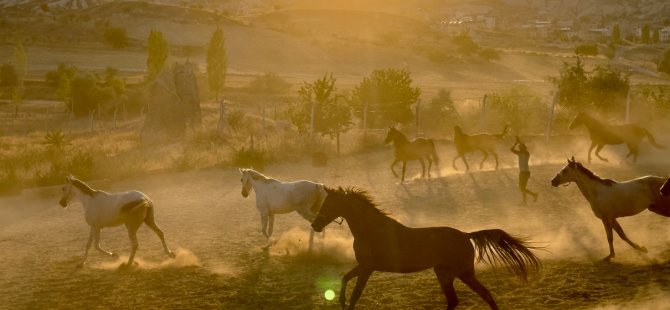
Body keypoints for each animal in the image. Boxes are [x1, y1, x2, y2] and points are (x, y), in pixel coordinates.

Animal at [314, 186, 540, 310]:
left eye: (328, 204)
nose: (315, 225)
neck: (372, 231)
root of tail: (465, 235)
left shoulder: (367, 268)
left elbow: (355, 294)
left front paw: (345, 302)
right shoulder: (364, 266)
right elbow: (345, 279)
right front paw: (341, 301)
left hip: (459, 273)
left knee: (474, 296)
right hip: (449, 273)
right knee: (466, 298)